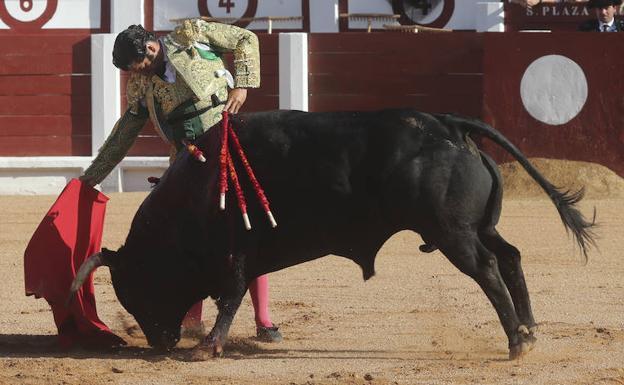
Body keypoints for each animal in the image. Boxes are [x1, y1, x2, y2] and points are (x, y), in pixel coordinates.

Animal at [69, 108, 596, 360]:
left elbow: (231, 295)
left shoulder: (234, 253)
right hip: (477, 226)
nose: (160, 342)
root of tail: (447, 124)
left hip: (452, 233)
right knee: (510, 256)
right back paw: (529, 330)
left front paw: (207, 347)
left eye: (135, 287)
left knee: (487, 267)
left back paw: (517, 344)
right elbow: (235, 294)